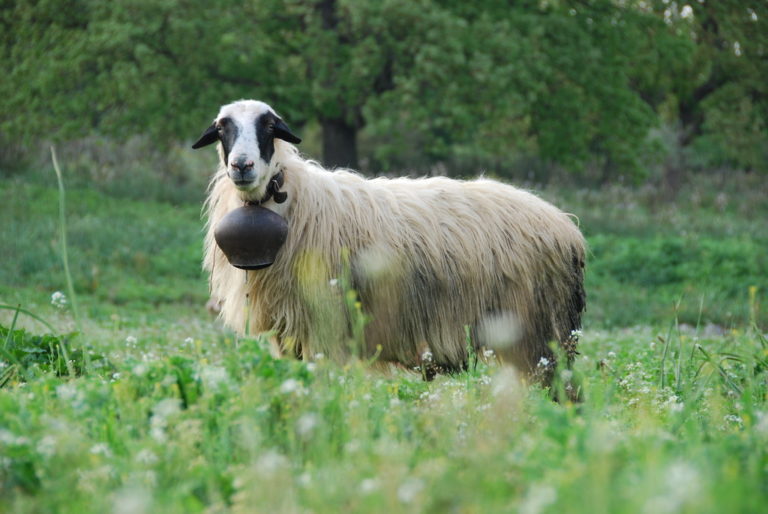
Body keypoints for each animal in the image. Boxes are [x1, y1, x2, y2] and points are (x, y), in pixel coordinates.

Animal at [190, 99, 584, 380]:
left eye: (269, 126)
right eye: (222, 128)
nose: (242, 166)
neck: (289, 198)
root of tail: (564, 225)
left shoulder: (325, 327)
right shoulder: (291, 333)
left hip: (538, 332)